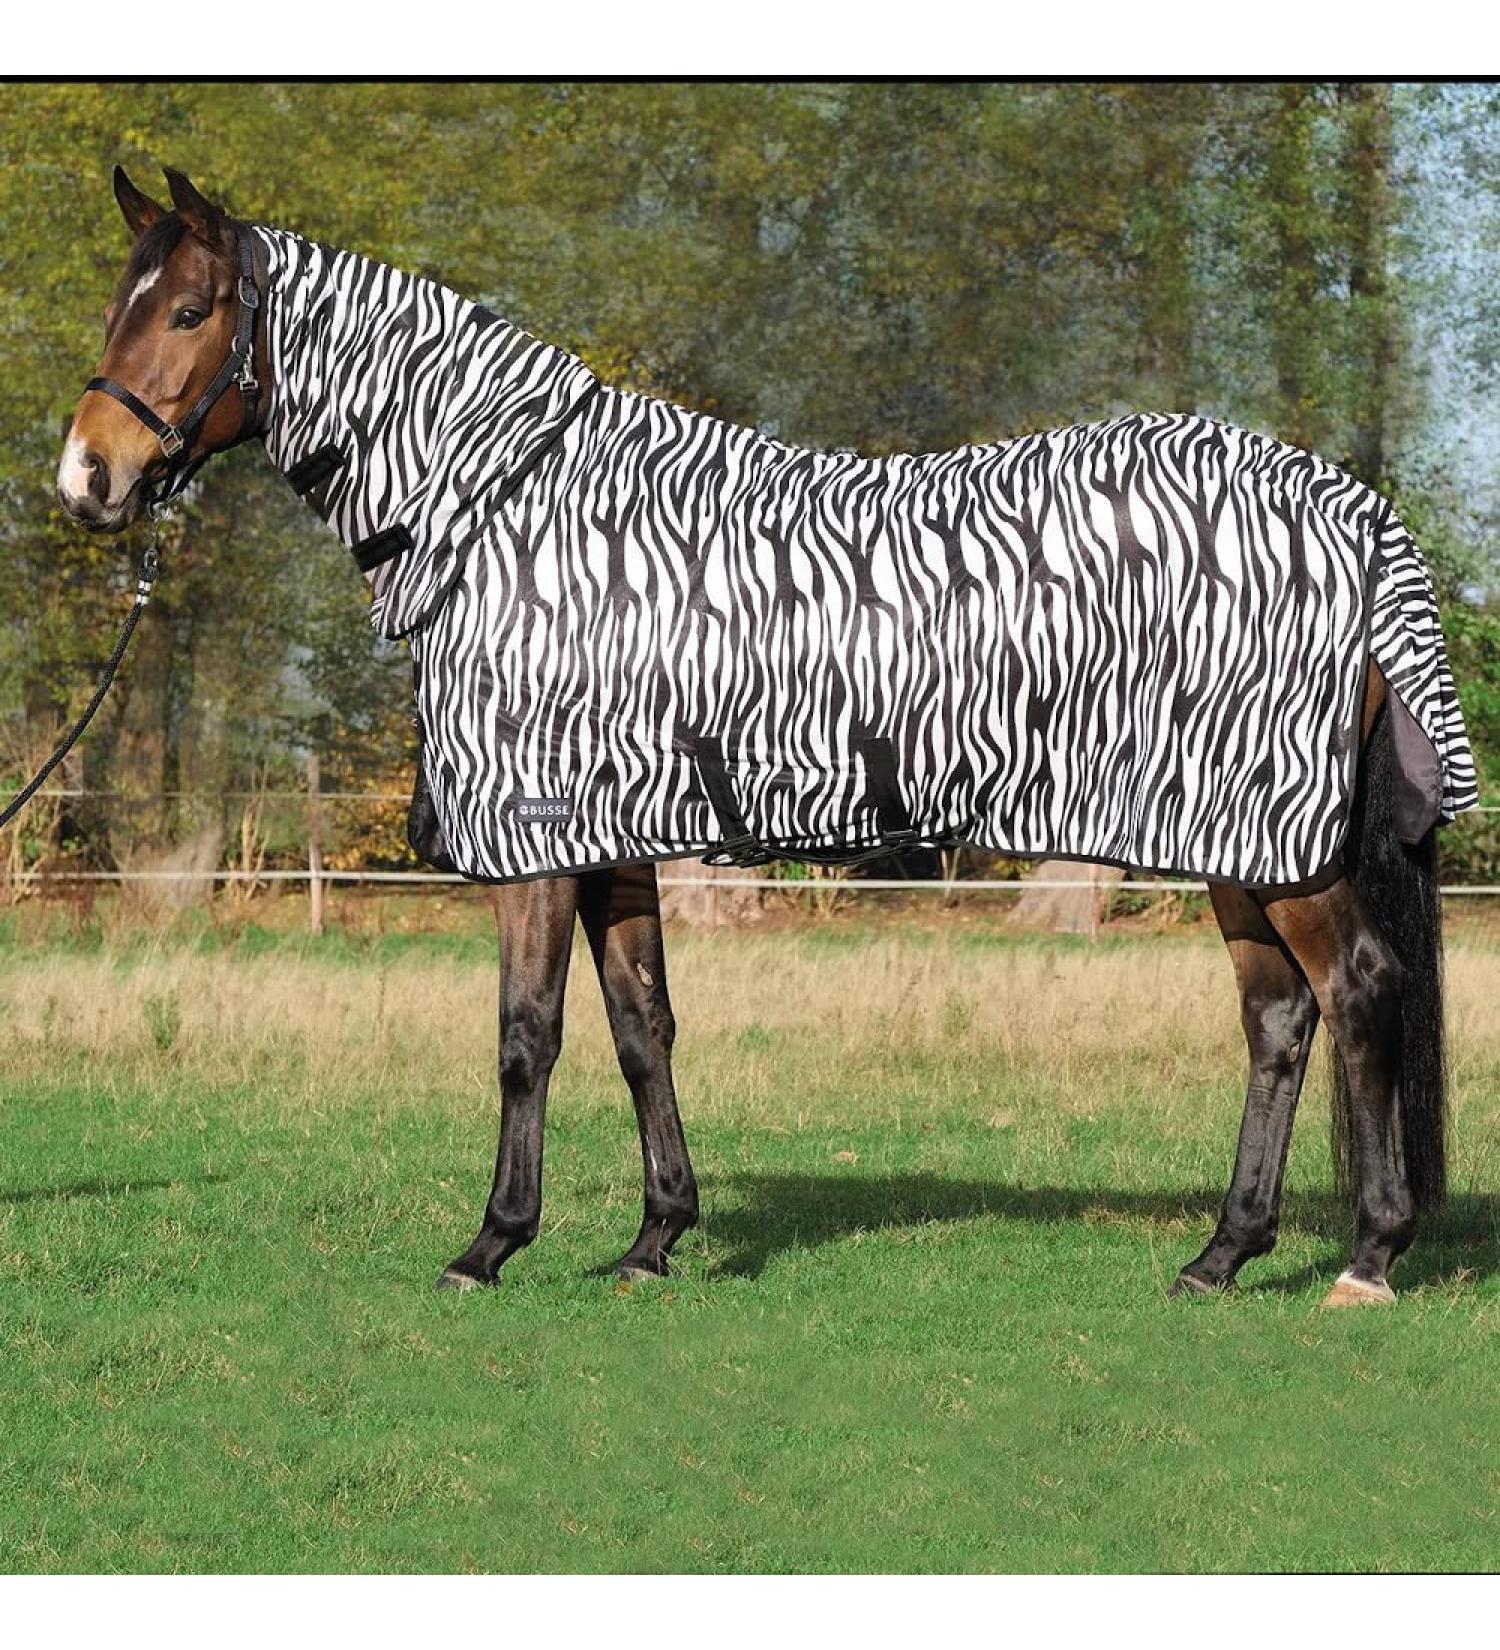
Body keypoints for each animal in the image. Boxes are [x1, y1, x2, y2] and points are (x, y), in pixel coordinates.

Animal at [55, 166, 1474, 1308]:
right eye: (123, 302)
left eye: (189, 311)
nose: (86, 480)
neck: (514, 514)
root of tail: (1344, 507)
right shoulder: (615, 842)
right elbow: (642, 1027)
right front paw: (653, 1242)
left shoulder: (537, 842)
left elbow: (527, 1037)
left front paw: (492, 1243)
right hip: (1234, 841)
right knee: (1279, 1022)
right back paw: (1224, 1255)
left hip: (1275, 841)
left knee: (1358, 993)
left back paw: (1367, 1256)